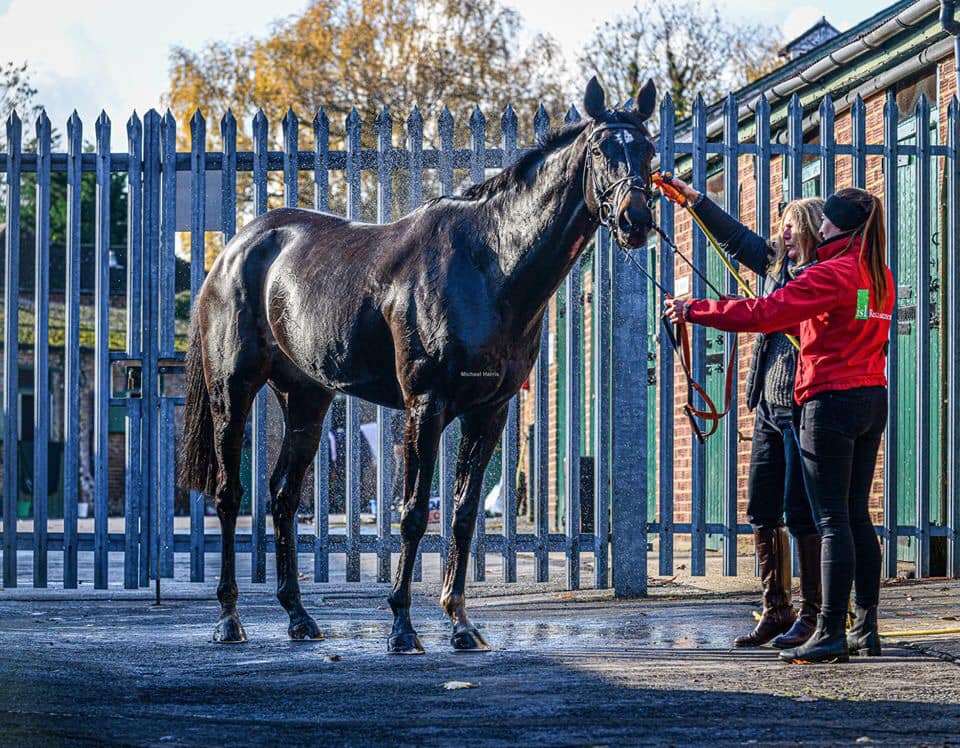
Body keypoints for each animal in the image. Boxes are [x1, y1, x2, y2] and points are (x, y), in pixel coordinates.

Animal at [178, 74, 660, 648]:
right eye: (601, 150)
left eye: (649, 152)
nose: (636, 219)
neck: (490, 263)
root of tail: (234, 251)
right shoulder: (424, 406)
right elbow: (412, 514)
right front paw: (403, 626)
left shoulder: (489, 412)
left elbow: (464, 513)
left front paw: (460, 622)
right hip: (233, 392)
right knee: (230, 495)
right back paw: (229, 619)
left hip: (307, 398)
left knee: (283, 496)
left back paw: (298, 616)